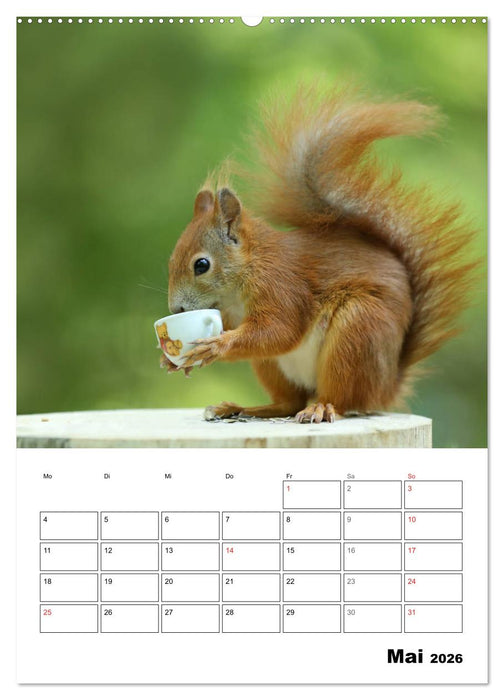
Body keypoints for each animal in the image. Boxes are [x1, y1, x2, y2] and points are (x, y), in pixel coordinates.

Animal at [163, 84, 477, 423]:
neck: (244, 274)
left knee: (340, 398)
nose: (177, 309)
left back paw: (322, 406)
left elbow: (279, 330)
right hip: (273, 365)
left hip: (357, 331)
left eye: (202, 265)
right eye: (171, 261)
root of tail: (386, 386)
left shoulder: (282, 285)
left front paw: (216, 345)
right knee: (288, 402)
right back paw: (242, 408)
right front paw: (172, 360)